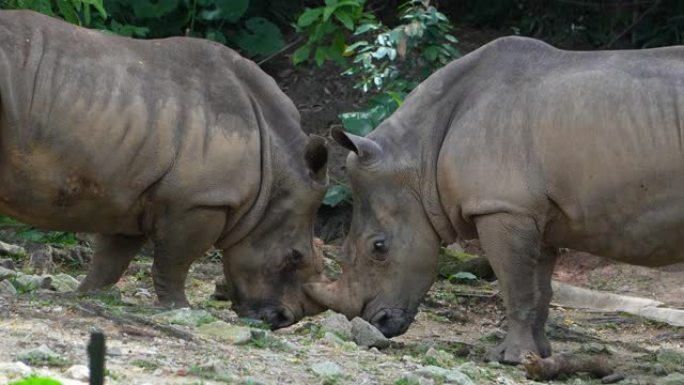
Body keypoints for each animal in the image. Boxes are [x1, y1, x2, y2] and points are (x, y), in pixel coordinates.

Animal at [0, 10, 332, 326]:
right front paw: (180, 308)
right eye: (295, 257)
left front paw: (86, 295)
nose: (283, 320)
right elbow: (174, 261)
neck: (276, 168)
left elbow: (111, 257)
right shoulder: (200, 200)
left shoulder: (131, 193)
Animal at [308, 35, 684, 360]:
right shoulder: (535, 211)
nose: (375, 323)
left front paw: (510, 358)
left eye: (379, 248)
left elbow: (515, 286)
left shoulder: (502, 207)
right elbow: (539, 289)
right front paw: (539, 355)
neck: (418, 156)